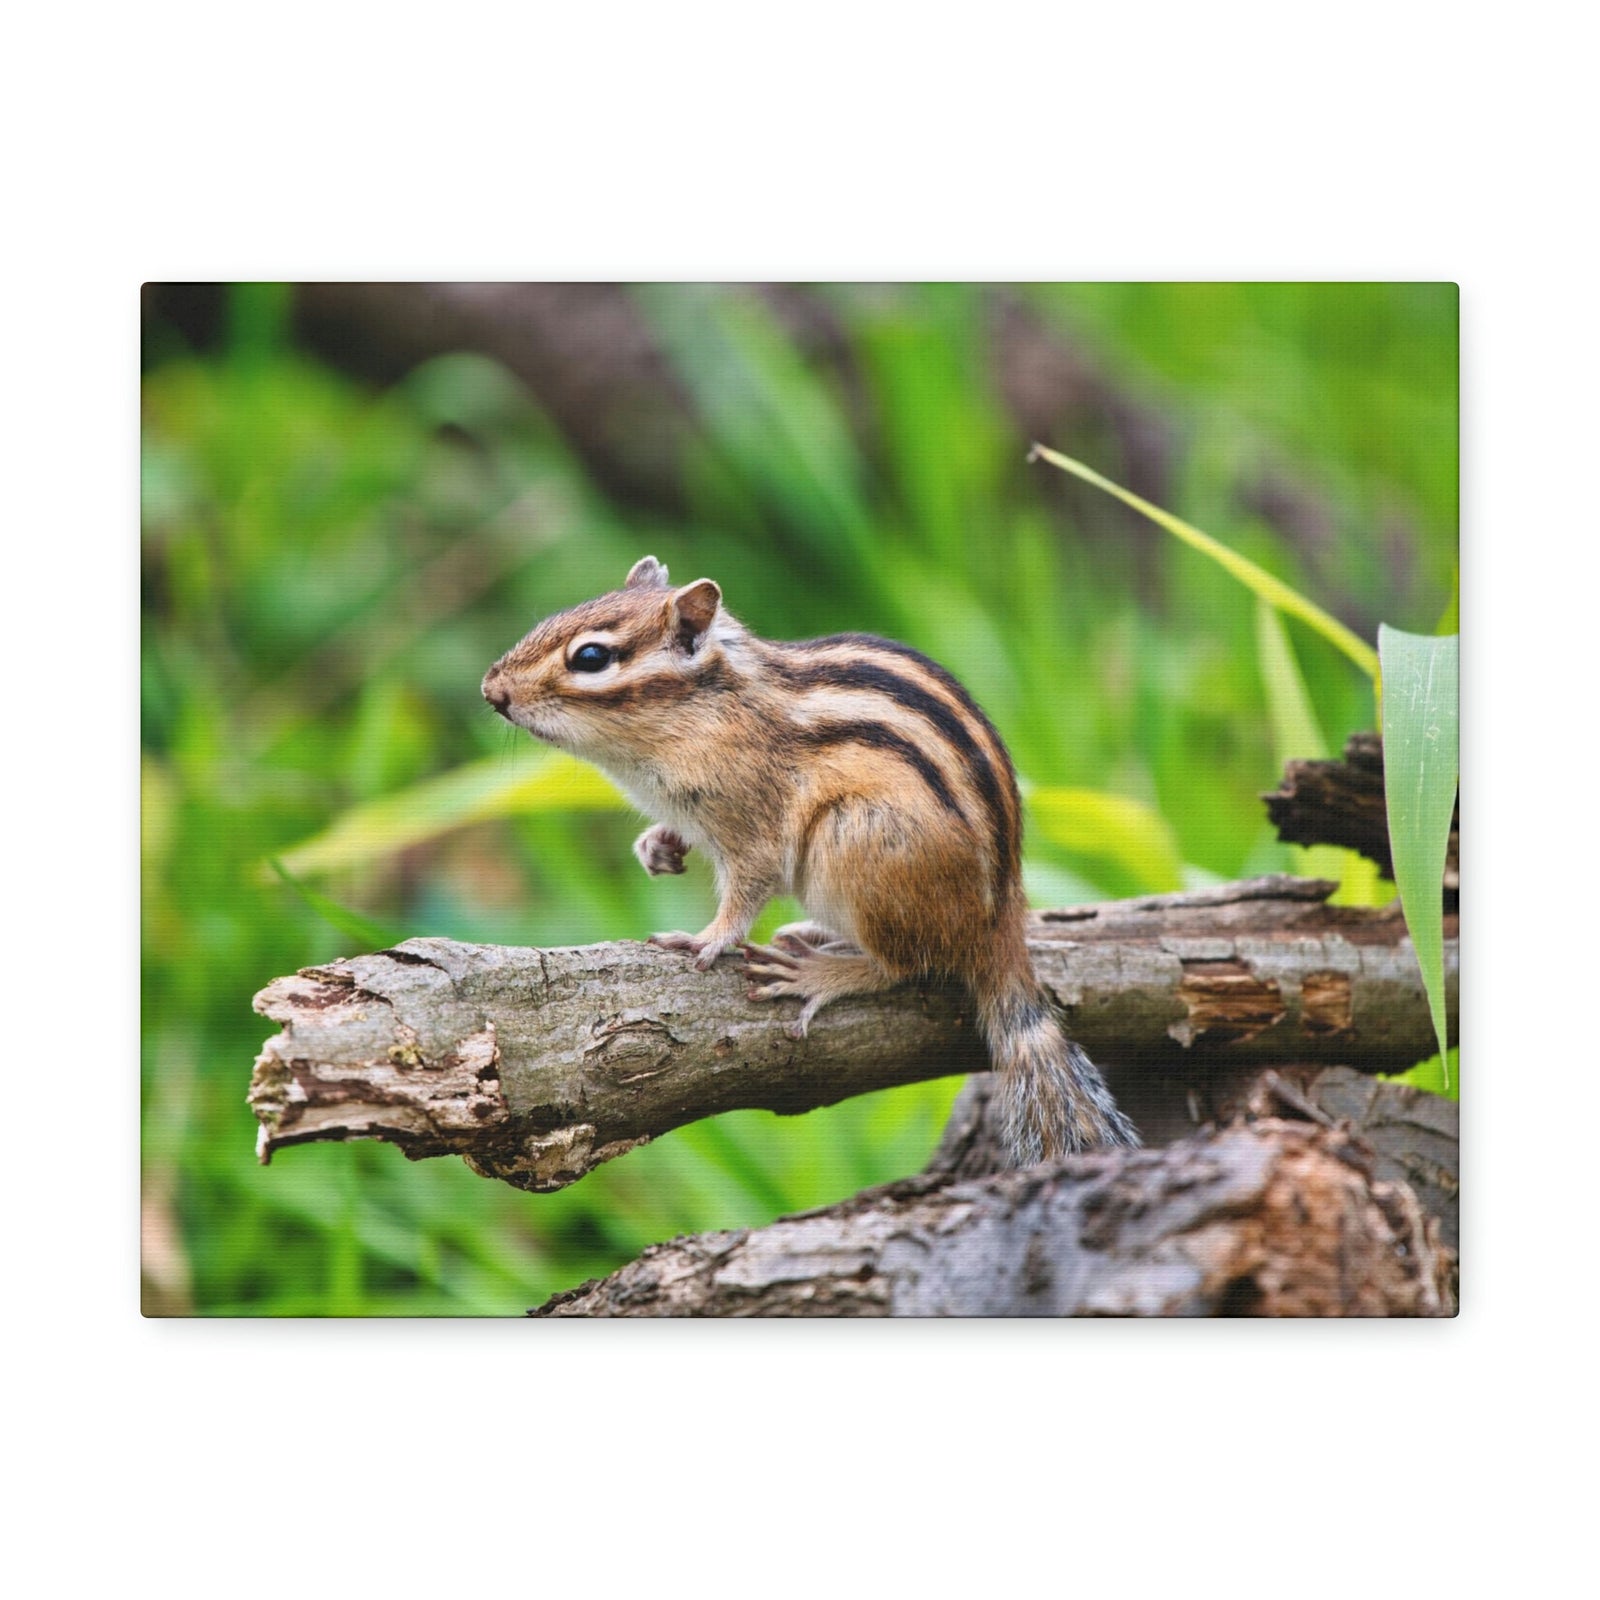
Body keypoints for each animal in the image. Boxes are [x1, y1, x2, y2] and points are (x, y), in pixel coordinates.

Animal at [481, 555, 1140, 1165]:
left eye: (591, 658)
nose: (492, 691)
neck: (704, 711)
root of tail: (1000, 922)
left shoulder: (754, 824)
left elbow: (748, 889)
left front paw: (709, 939)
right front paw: (657, 846)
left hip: (853, 841)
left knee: (906, 966)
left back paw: (820, 973)